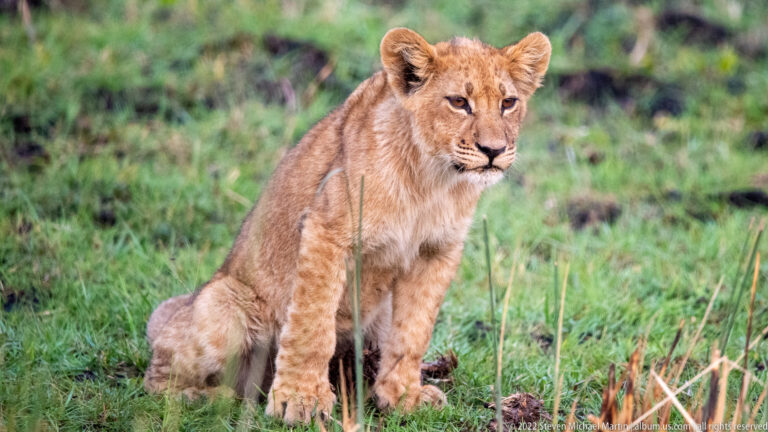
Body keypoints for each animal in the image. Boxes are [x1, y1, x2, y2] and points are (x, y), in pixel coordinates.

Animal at [143, 27, 551, 424]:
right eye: (458, 102)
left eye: (508, 103)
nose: (493, 151)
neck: (433, 181)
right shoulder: (326, 230)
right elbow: (312, 325)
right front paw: (299, 400)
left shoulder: (437, 251)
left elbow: (413, 332)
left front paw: (402, 396)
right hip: (222, 305)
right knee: (159, 376)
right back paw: (213, 399)